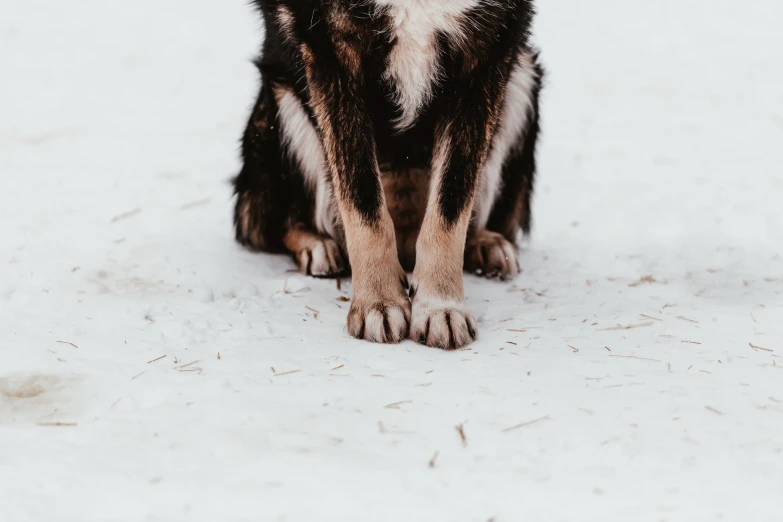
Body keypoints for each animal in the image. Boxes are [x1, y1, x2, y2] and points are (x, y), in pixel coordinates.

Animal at [230, 1, 544, 350]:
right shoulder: (329, 50)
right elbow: (363, 202)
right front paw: (378, 303)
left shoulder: (487, 49)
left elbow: (452, 203)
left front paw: (440, 306)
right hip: (279, 101)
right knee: (269, 223)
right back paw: (318, 245)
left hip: (524, 73)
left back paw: (486, 244)